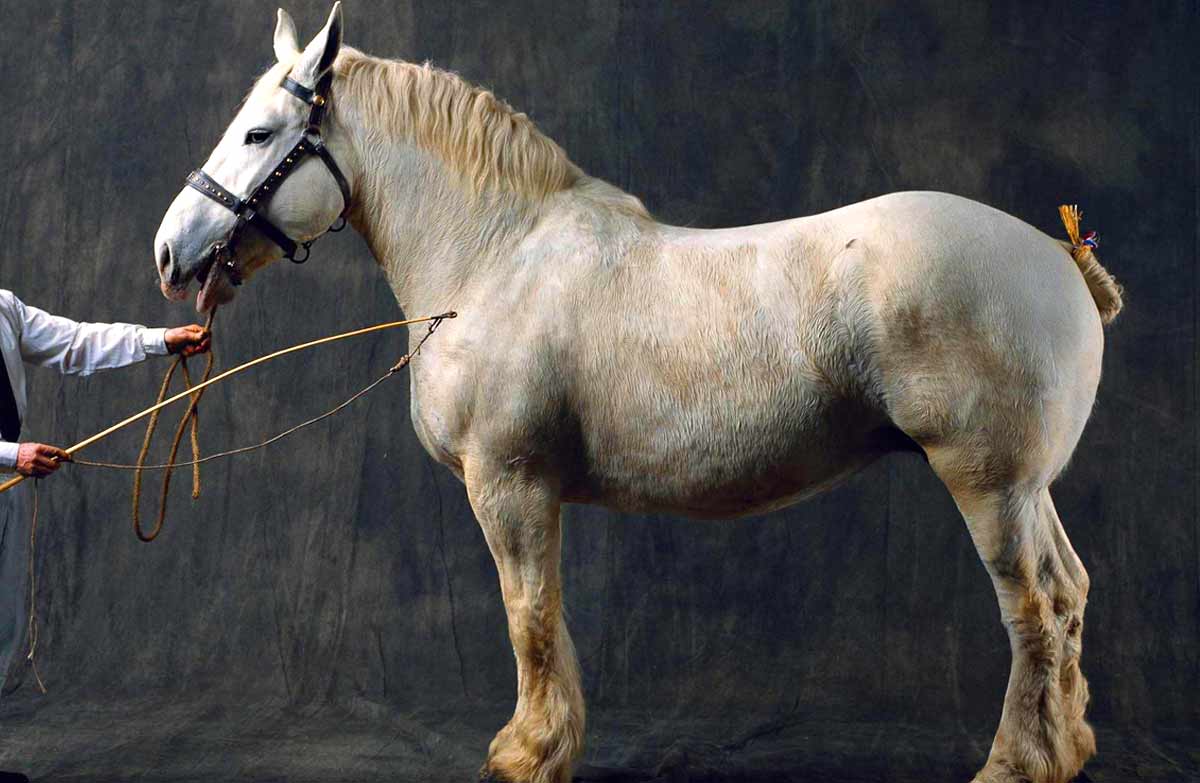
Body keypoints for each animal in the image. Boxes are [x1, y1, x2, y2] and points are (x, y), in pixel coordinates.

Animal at [152, 5, 1122, 783]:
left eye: (258, 133)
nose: (171, 253)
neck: (495, 255)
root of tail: (1058, 259)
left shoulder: (509, 486)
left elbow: (529, 616)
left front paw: (528, 752)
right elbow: (544, 615)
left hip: (988, 486)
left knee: (1034, 608)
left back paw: (1014, 762)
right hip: (1027, 490)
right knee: (1070, 592)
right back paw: (1066, 747)